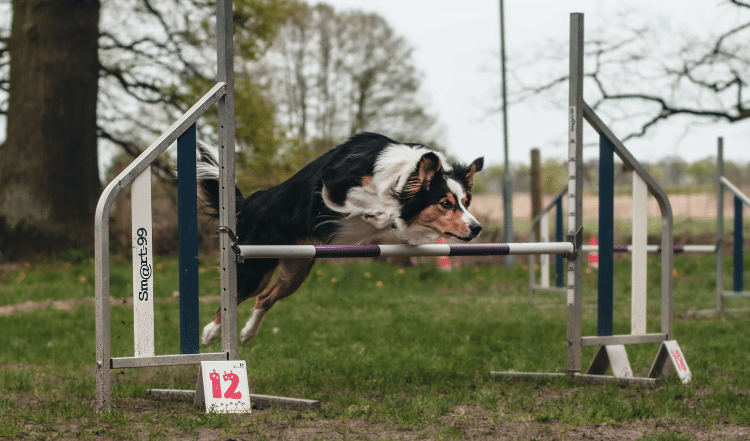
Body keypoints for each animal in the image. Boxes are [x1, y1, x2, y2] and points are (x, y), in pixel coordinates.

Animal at [197, 132, 484, 346]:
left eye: (466, 202)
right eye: (445, 203)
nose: (477, 228)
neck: (404, 175)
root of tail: (249, 203)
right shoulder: (333, 189)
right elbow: (379, 206)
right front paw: (381, 213)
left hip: (296, 270)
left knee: (264, 298)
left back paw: (247, 334)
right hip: (253, 266)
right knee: (233, 298)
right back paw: (210, 333)